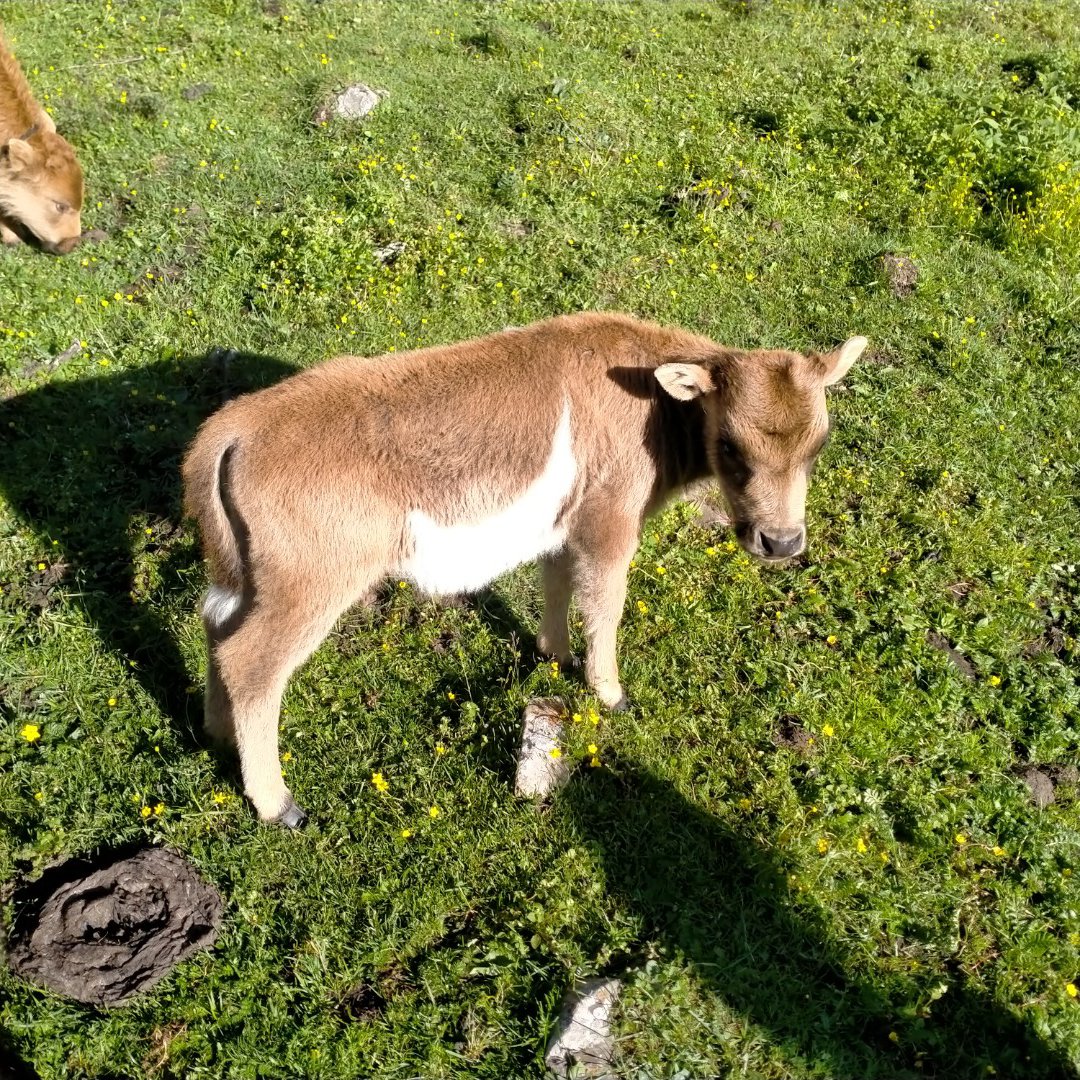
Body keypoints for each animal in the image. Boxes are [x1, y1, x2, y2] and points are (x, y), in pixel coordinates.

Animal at [181, 315, 864, 825]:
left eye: (818, 443)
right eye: (728, 444)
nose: (780, 541)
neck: (651, 400)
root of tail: (230, 431)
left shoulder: (564, 528)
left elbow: (557, 585)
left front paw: (553, 657)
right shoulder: (610, 521)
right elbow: (605, 602)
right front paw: (610, 694)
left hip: (247, 578)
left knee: (215, 626)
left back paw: (216, 734)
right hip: (310, 586)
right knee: (252, 663)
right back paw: (278, 804)